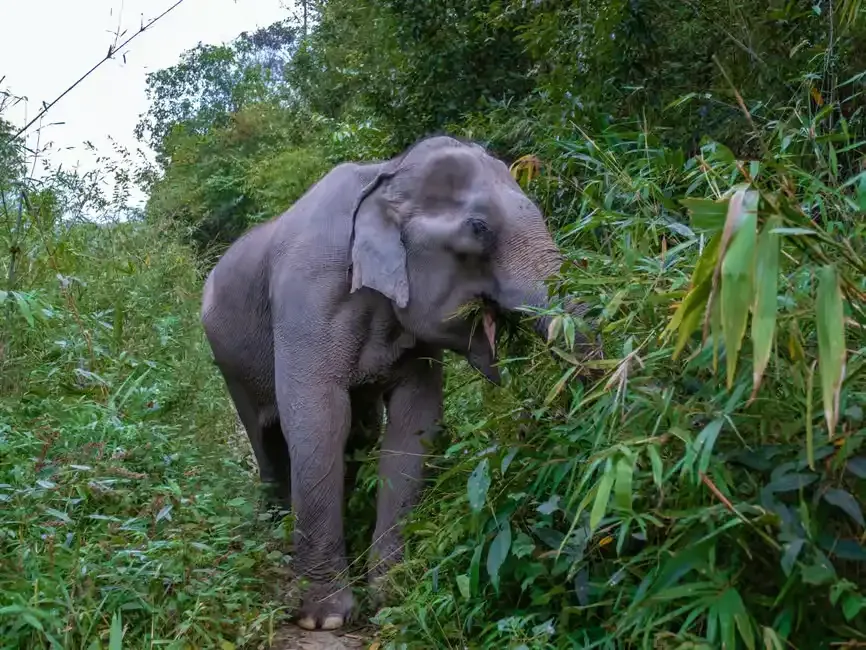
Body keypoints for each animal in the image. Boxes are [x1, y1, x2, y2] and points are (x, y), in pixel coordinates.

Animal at [200, 135, 598, 631]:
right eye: (479, 228)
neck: (386, 174)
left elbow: (414, 426)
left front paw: (391, 600)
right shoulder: (306, 296)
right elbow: (318, 418)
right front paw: (325, 619)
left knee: (360, 432)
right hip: (228, 361)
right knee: (268, 439)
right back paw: (275, 541)